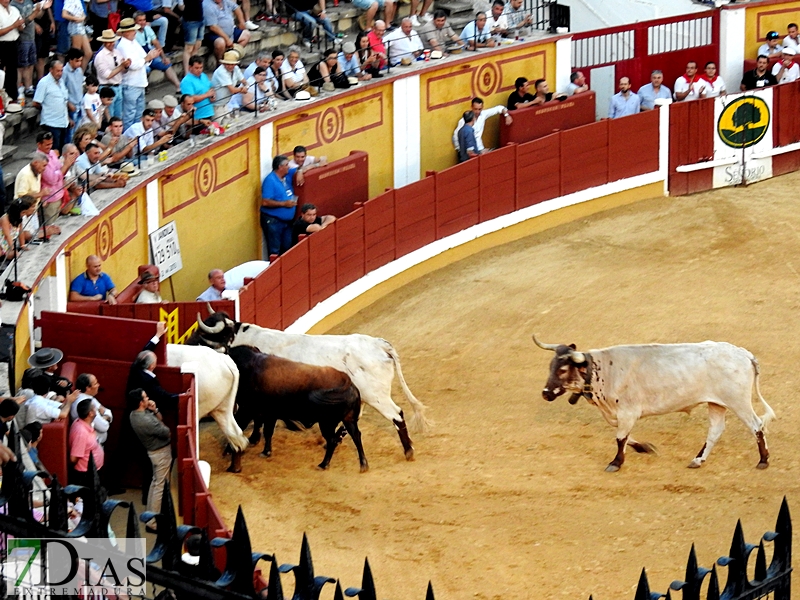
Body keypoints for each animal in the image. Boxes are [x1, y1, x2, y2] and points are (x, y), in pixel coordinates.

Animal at [230, 324, 428, 460]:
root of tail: (379, 345)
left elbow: (262, 419)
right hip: (365, 395)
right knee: (356, 418)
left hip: (377, 396)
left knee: (396, 415)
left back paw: (408, 450)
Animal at [532, 336, 776, 472]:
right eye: (551, 366)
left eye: (563, 369)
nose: (545, 394)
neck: (603, 370)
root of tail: (744, 354)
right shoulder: (617, 414)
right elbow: (624, 435)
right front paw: (644, 447)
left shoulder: (627, 412)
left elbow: (620, 437)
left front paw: (616, 462)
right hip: (716, 403)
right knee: (716, 430)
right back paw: (698, 460)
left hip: (738, 401)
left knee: (756, 425)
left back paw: (763, 460)